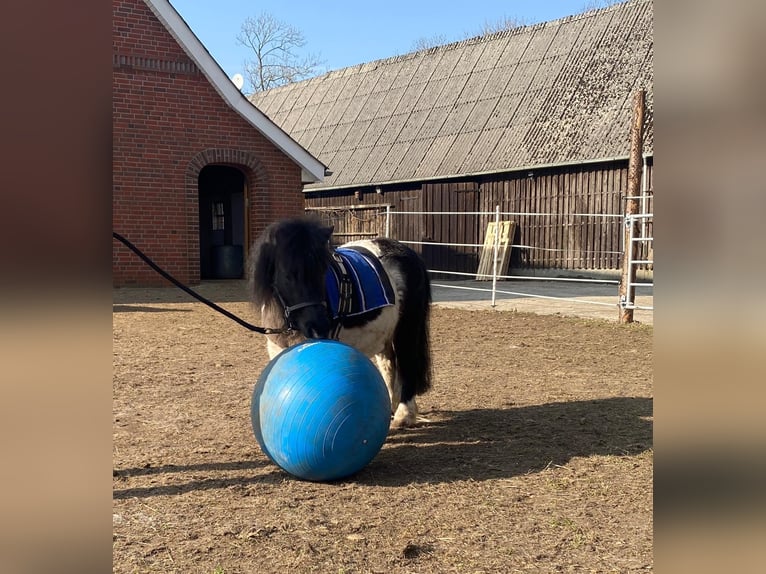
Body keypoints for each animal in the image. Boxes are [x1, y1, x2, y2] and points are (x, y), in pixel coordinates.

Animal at [250, 216, 432, 428]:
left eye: (323, 271)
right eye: (288, 274)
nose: (319, 326)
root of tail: (408, 252)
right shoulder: (278, 349)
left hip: (407, 327)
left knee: (408, 362)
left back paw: (404, 415)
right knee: (389, 364)